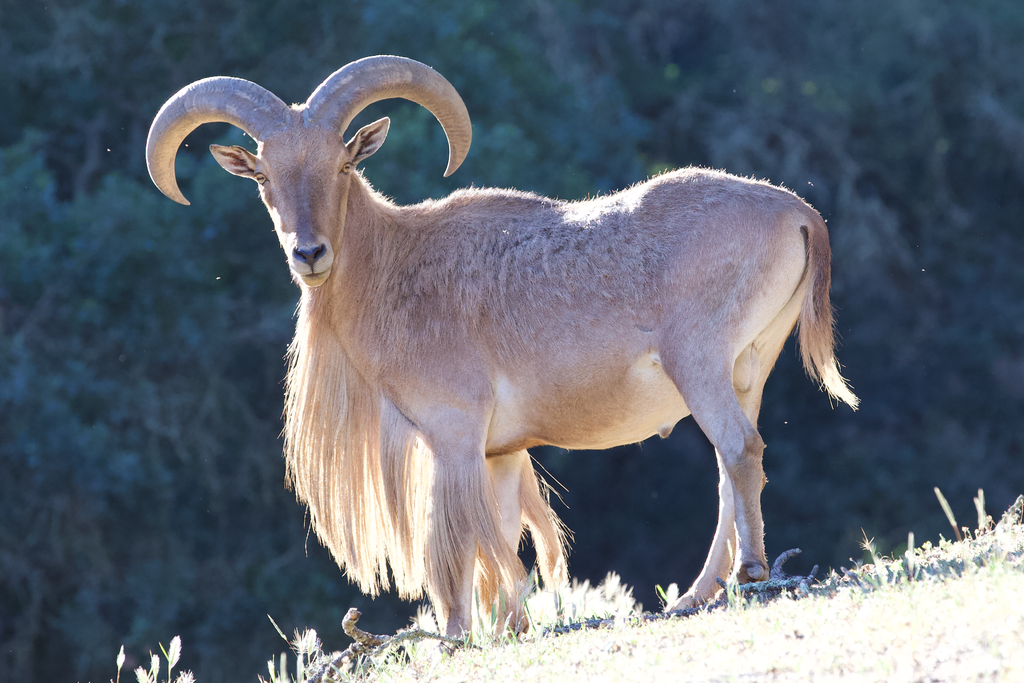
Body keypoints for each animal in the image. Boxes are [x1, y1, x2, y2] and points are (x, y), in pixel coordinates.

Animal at [146, 55, 858, 636]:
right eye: (263, 174)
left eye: (342, 164)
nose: (309, 253)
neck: (397, 268)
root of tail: (797, 211)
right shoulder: (501, 452)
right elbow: (506, 535)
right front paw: (512, 622)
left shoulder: (452, 434)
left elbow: (452, 543)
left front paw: (458, 635)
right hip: (748, 370)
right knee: (732, 468)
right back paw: (695, 594)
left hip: (699, 362)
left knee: (738, 450)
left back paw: (749, 573)